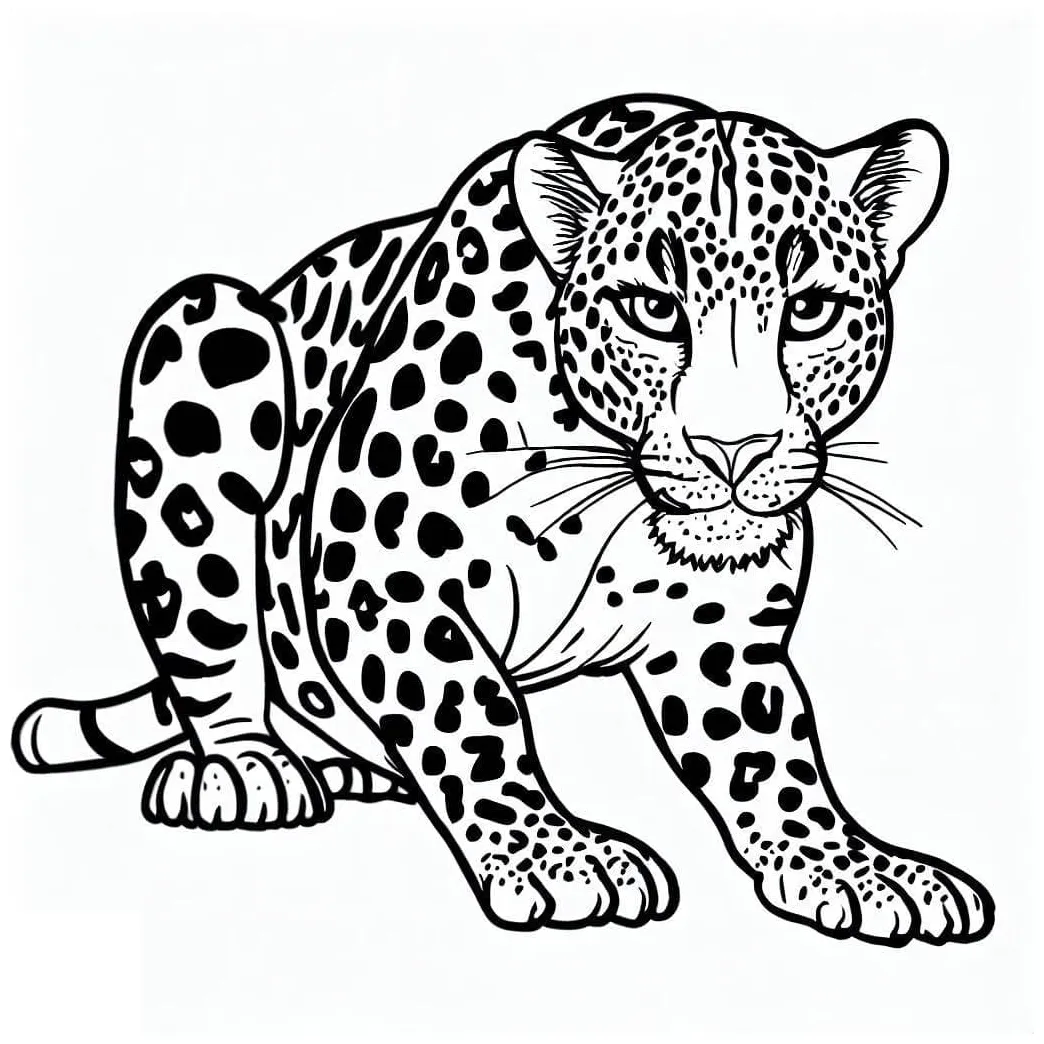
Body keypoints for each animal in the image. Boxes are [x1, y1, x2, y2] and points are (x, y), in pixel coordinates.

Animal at [11, 93, 994, 944]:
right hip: (210, 330)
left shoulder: (720, 636)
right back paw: (250, 768)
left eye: (812, 311)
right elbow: (470, 714)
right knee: (211, 652)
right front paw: (555, 856)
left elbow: (772, 754)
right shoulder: (384, 575)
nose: (734, 447)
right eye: (653, 309)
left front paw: (850, 864)